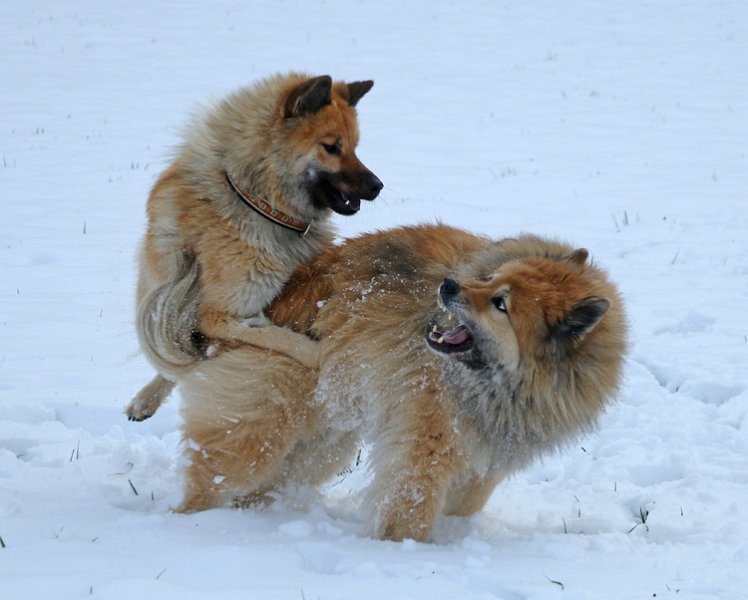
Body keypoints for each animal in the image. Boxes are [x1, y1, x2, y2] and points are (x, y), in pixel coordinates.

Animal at [126, 72, 382, 422]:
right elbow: (280, 337)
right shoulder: (217, 315)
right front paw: (320, 355)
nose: (378, 186)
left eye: (355, 147)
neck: (260, 202)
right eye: (331, 148)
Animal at [175, 225, 624, 544]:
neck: (502, 386)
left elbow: (465, 503)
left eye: (502, 304)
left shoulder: (487, 458)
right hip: (262, 427)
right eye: (491, 278)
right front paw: (404, 552)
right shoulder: (426, 446)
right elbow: (412, 508)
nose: (448, 284)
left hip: (324, 445)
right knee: (214, 478)